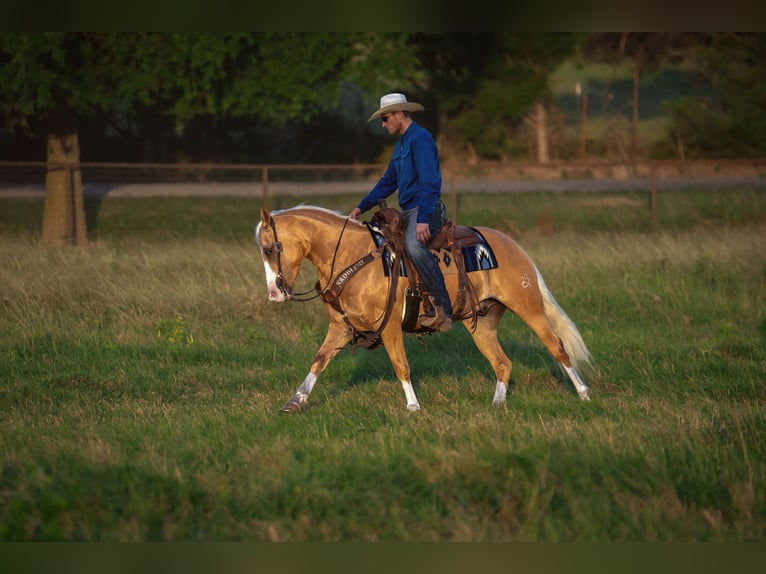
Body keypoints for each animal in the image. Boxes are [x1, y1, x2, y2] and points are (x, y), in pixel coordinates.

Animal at [255, 205, 593, 413]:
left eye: (270, 248)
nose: (274, 294)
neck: (355, 257)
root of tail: (514, 246)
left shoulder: (390, 326)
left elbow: (401, 365)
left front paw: (413, 406)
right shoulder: (340, 329)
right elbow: (318, 361)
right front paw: (295, 400)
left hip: (529, 308)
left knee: (557, 346)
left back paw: (583, 393)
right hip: (482, 325)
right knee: (502, 363)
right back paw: (497, 405)